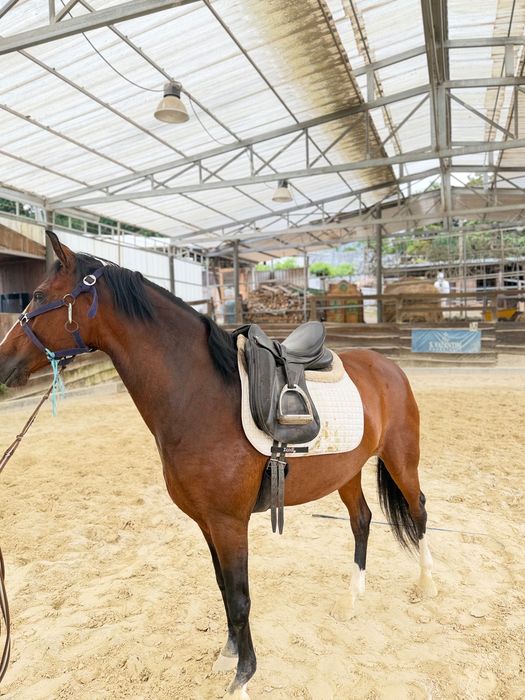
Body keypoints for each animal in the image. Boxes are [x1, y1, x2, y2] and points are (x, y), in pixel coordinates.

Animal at [0, 231, 436, 698]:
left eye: (39, 296)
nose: (2, 361)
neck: (200, 396)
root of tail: (387, 364)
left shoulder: (229, 522)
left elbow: (241, 597)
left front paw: (242, 678)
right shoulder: (205, 521)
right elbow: (224, 588)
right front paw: (227, 654)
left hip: (401, 459)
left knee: (418, 511)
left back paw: (426, 584)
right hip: (347, 472)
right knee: (362, 521)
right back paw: (351, 599)